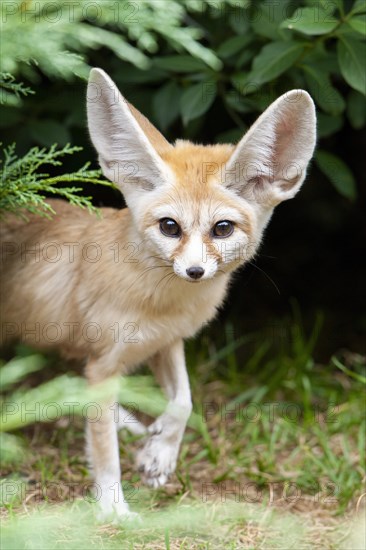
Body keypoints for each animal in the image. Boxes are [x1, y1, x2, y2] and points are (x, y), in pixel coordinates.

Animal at [0, 68, 316, 520]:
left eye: (222, 229)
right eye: (170, 227)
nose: (195, 271)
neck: (160, 304)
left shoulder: (166, 343)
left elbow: (184, 402)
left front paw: (160, 453)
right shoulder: (103, 364)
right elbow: (105, 452)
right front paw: (114, 508)